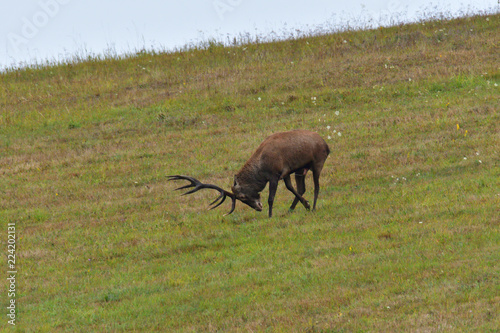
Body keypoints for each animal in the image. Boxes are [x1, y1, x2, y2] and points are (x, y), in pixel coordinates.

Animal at [168, 130, 330, 218]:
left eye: (241, 197)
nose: (258, 208)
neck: (261, 168)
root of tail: (327, 146)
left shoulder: (274, 174)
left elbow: (271, 198)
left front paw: (270, 215)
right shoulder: (286, 172)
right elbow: (291, 188)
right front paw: (304, 204)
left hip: (317, 162)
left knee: (317, 186)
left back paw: (314, 207)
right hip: (300, 169)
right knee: (303, 187)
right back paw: (298, 208)